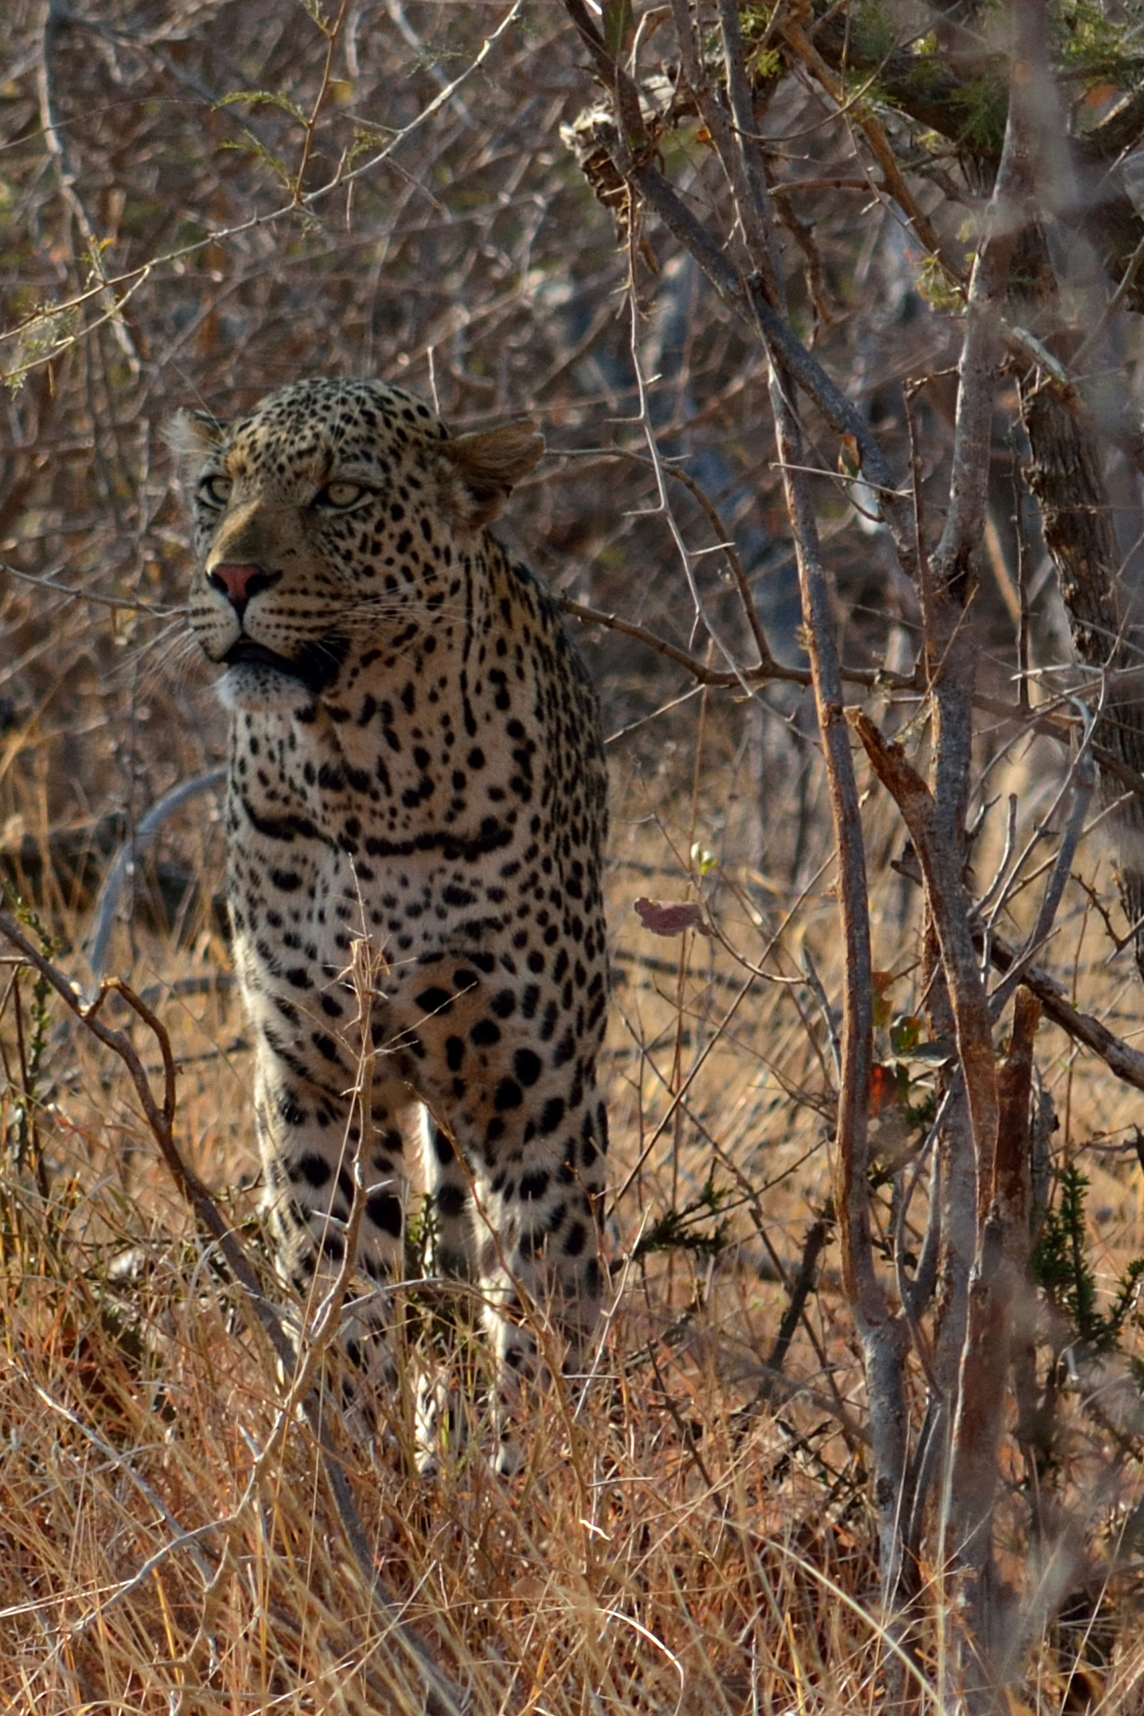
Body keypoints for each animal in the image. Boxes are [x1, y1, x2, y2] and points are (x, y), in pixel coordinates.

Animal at [173, 376, 609, 1465]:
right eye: (215, 488)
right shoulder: (314, 1080)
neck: (360, 766)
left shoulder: (539, 1101)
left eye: (341, 495)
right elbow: (340, 1291)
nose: (230, 575)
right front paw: (363, 1469)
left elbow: (547, 1305)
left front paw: (529, 1477)